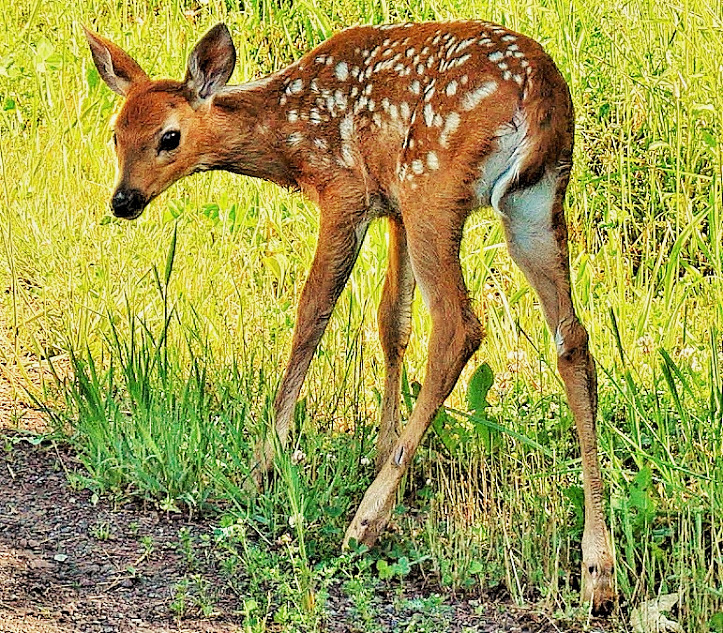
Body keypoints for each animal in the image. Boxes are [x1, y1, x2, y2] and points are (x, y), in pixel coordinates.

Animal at [85, 22, 616, 608]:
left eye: (169, 137)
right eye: (114, 134)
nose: (124, 200)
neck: (287, 136)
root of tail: (542, 92)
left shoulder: (347, 192)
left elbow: (311, 315)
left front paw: (264, 465)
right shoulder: (392, 207)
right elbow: (393, 322)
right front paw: (386, 450)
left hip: (434, 187)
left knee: (459, 327)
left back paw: (364, 521)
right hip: (531, 205)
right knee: (573, 339)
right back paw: (598, 570)